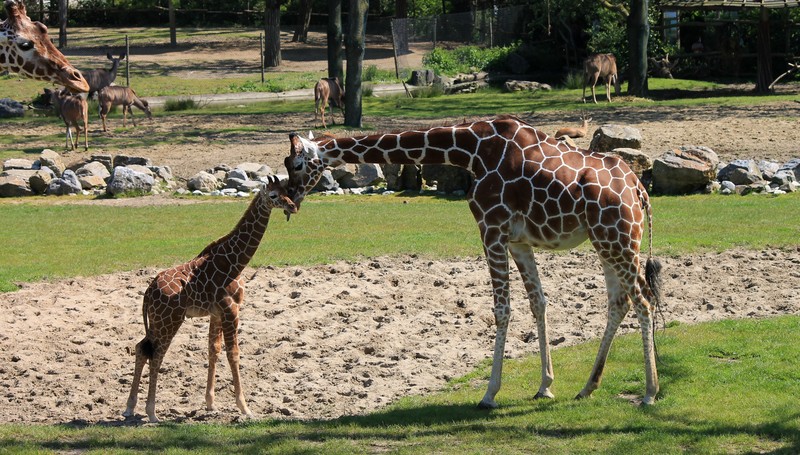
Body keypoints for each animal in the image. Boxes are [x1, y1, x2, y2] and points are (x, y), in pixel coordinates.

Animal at [123, 176, 298, 423]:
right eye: (273, 195)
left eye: (286, 191)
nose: (292, 206)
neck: (235, 263)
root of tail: (148, 291)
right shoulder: (231, 309)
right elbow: (233, 353)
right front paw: (245, 408)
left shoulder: (216, 312)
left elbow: (213, 350)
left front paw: (211, 403)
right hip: (170, 320)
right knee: (156, 354)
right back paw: (152, 412)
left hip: (157, 321)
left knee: (141, 348)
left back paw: (130, 408)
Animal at [284, 116, 664, 409]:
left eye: (297, 165)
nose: (290, 201)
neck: (470, 150)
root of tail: (638, 188)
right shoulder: (518, 241)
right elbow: (538, 303)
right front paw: (545, 386)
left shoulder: (490, 228)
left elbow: (502, 310)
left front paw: (489, 394)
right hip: (606, 241)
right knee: (619, 302)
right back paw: (588, 387)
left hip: (618, 239)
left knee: (643, 301)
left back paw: (649, 392)